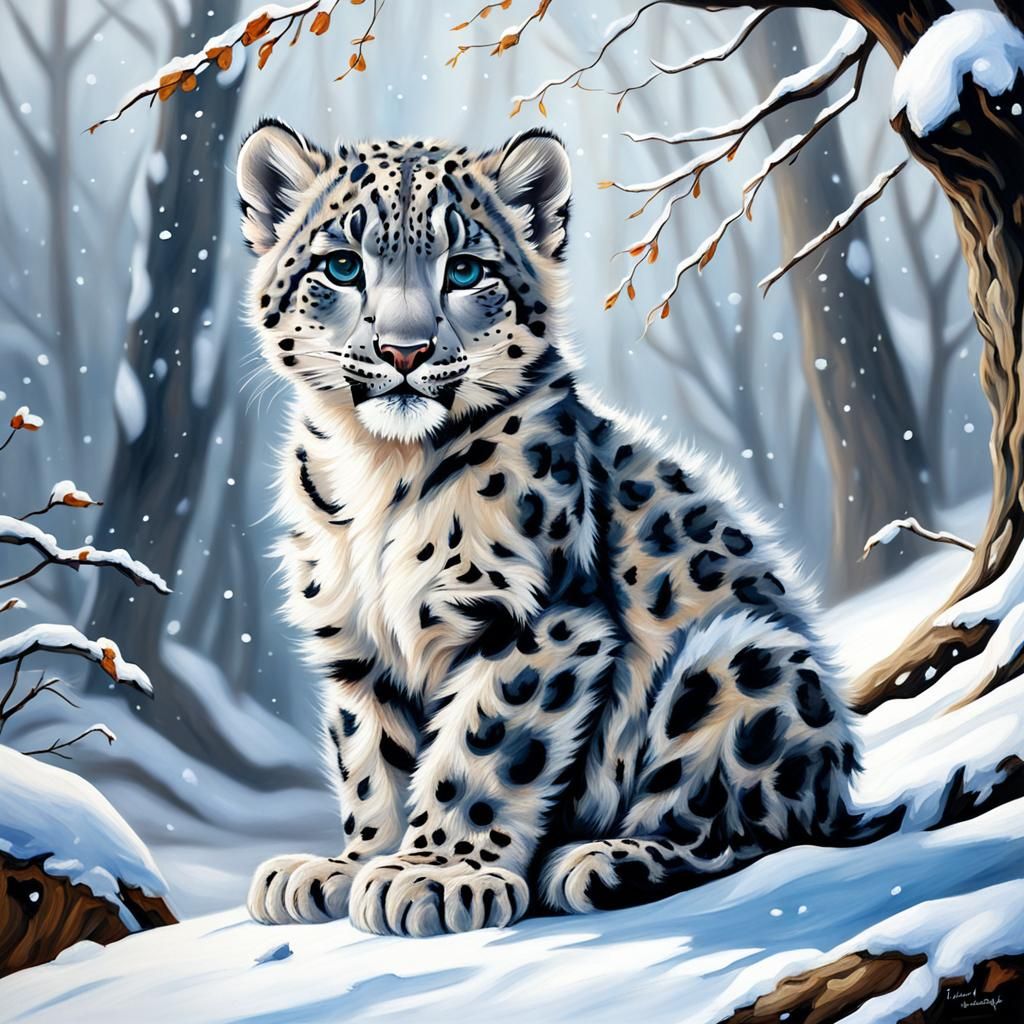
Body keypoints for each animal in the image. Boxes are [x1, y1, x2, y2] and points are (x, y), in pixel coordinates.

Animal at [238, 119, 859, 937]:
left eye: (466, 269)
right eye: (341, 265)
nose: (404, 351)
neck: (380, 468)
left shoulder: (533, 619)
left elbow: (480, 750)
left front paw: (438, 876)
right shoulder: (357, 648)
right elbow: (370, 762)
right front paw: (353, 865)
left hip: (741, 663)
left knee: (744, 831)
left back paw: (599, 860)